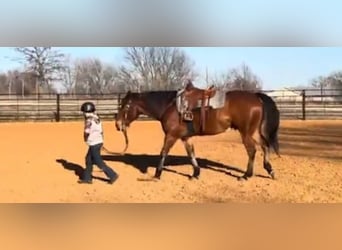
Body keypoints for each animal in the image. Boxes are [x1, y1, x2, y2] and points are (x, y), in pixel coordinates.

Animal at [115, 82, 280, 182]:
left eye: (126, 106)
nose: (118, 124)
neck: (169, 106)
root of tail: (256, 97)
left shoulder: (171, 136)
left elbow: (163, 152)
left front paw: (157, 174)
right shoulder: (185, 137)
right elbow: (191, 154)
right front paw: (195, 173)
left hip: (245, 132)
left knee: (252, 150)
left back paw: (246, 175)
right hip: (254, 131)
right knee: (265, 146)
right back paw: (270, 170)